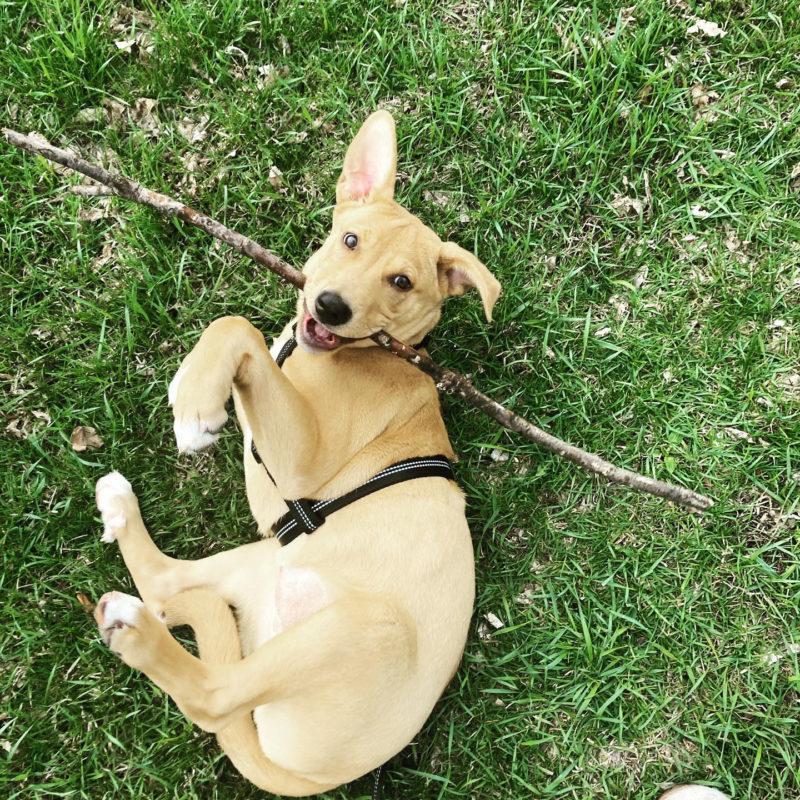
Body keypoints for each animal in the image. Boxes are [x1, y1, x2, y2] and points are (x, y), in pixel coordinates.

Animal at [94, 111, 500, 792]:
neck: (369, 354)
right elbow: (236, 333)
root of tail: (297, 774)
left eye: (402, 282)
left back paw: (137, 636)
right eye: (351, 240)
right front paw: (196, 384)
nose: (330, 306)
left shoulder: (302, 465)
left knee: (212, 694)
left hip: (361, 627)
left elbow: (238, 330)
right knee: (163, 584)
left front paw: (196, 405)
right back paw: (118, 511)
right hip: (260, 561)